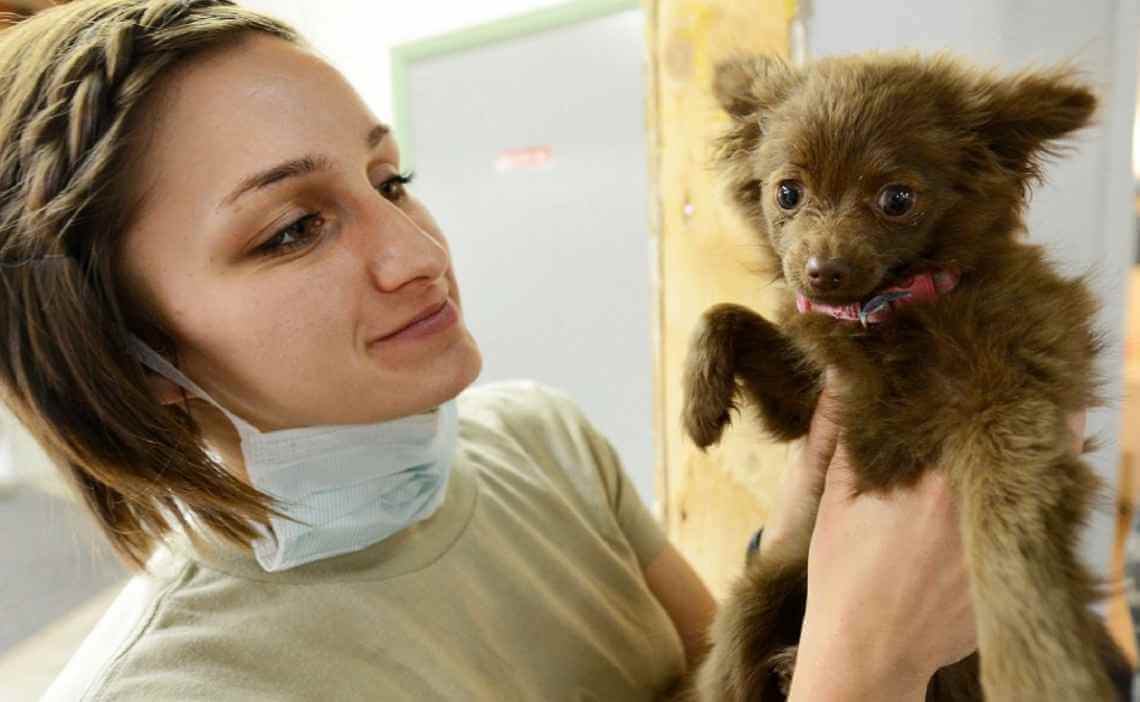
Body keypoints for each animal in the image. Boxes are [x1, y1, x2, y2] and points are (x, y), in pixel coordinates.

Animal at [679, 54, 1126, 702]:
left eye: (897, 199)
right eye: (787, 193)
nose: (822, 271)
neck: (890, 315)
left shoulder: (1014, 403)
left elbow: (1005, 529)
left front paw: (1037, 665)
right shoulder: (808, 402)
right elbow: (724, 314)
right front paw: (699, 406)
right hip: (759, 593)